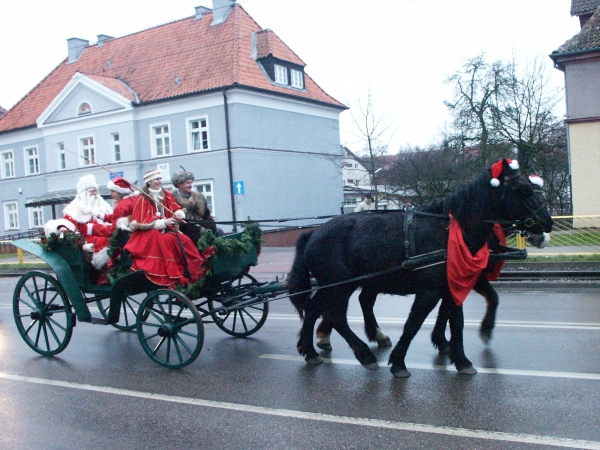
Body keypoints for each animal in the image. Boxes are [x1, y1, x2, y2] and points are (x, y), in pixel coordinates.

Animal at [286, 160, 552, 378]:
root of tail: (313, 233)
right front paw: (399, 363)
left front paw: (461, 359)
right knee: (336, 315)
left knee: (315, 309)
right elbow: (414, 323)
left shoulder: (454, 286)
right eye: (523, 190)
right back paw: (364, 354)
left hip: (334, 285)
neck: (449, 232)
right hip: (340, 285)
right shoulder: (430, 291)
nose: (547, 226)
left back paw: (311, 350)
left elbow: (456, 321)